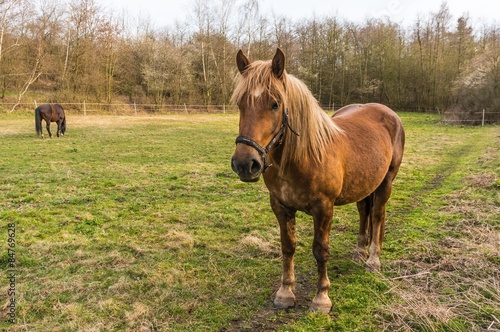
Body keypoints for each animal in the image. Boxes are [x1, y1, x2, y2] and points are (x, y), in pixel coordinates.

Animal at [230, 48, 406, 312]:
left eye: (275, 104)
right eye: (240, 104)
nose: (245, 164)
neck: (301, 158)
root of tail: (389, 114)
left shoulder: (323, 208)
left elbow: (320, 250)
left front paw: (321, 297)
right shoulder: (280, 207)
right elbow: (288, 247)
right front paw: (285, 292)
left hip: (385, 182)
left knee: (377, 215)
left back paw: (373, 260)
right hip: (364, 184)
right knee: (363, 212)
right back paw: (359, 251)